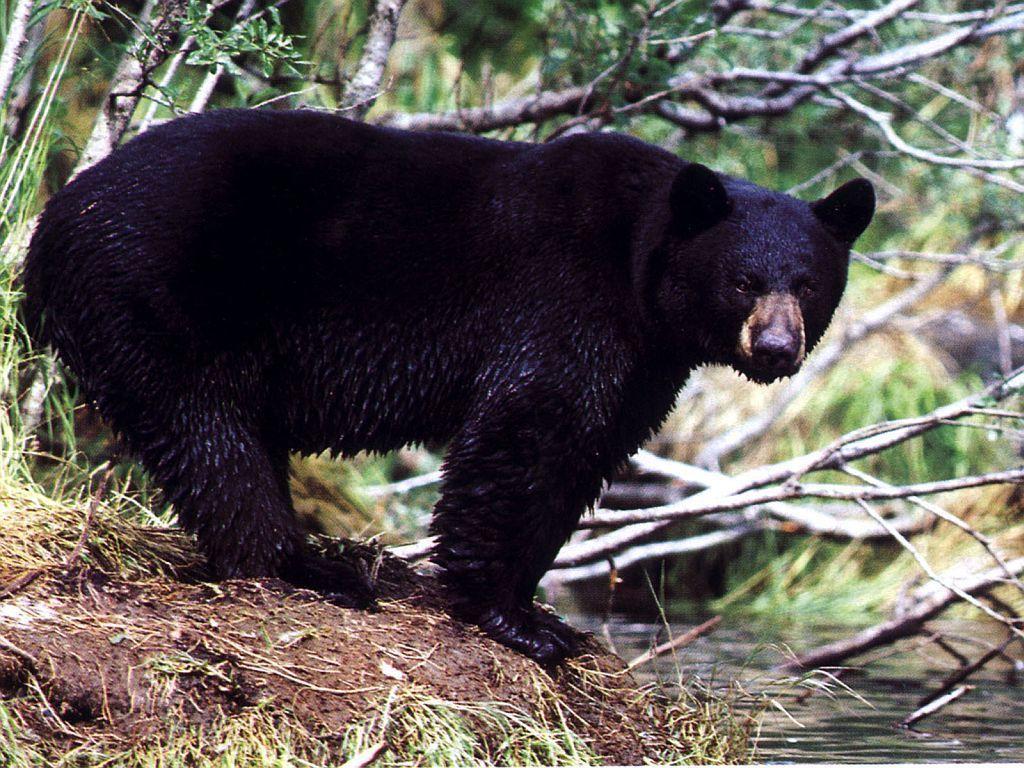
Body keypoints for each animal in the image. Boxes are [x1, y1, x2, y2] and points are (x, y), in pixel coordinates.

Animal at [21, 109, 874, 663]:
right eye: (742, 281)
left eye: (808, 283)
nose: (775, 346)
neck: (638, 260)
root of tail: (52, 224)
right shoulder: (563, 299)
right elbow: (527, 429)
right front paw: (512, 616)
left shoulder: (643, 359)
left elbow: (585, 453)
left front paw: (537, 603)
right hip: (160, 294)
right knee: (209, 433)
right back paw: (308, 568)